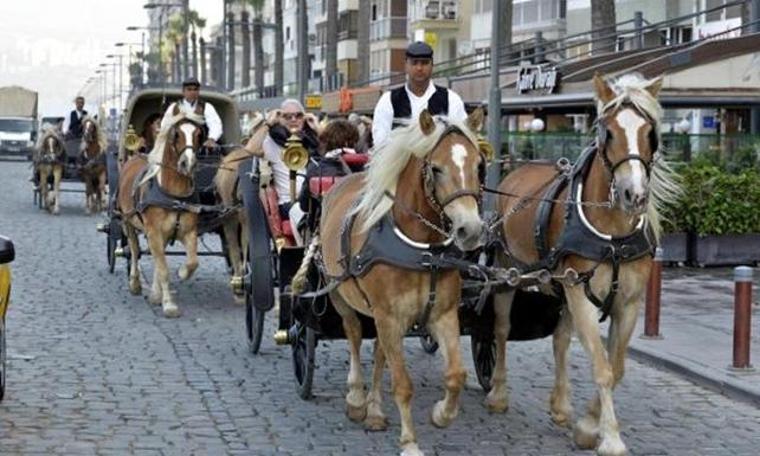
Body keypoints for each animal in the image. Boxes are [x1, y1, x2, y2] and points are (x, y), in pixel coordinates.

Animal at [116, 113, 206, 318]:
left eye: (198, 134)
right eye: (176, 134)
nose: (188, 163)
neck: (175, 196)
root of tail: (136, 155)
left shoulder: (188, 232)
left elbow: (192, 262)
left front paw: (181, 273)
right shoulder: (154, 232)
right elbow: (163, 268)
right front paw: (169, 305)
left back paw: (155, 293)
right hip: (128, 221)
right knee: (134, 251)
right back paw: (135, 283)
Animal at [320, 108, 486, 454]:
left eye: (479, 166)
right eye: (436, 168)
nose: (471, 230)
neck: (424, 252)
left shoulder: (442, 315)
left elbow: (456, 374)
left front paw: (442, 414)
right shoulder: (389, 316)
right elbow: (403, 384)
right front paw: (410, 442)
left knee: (380, 351)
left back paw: (374, 410)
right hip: (339, 293)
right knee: (354, 334)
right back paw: (356, 398)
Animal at [490, 73, 680, 454]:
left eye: (650, 133)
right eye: (608, 132)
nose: (634, 195)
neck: (613, 236)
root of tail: (517, 170)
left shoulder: (627, 302)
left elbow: (616, 367)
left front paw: (588, 426)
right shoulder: (581, 293)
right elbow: (602, 366)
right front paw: (611, 438)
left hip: (560, 287)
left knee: (561, 338)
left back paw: (561, 405)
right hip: (508, 273)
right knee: (501, 329)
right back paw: (498, 393)